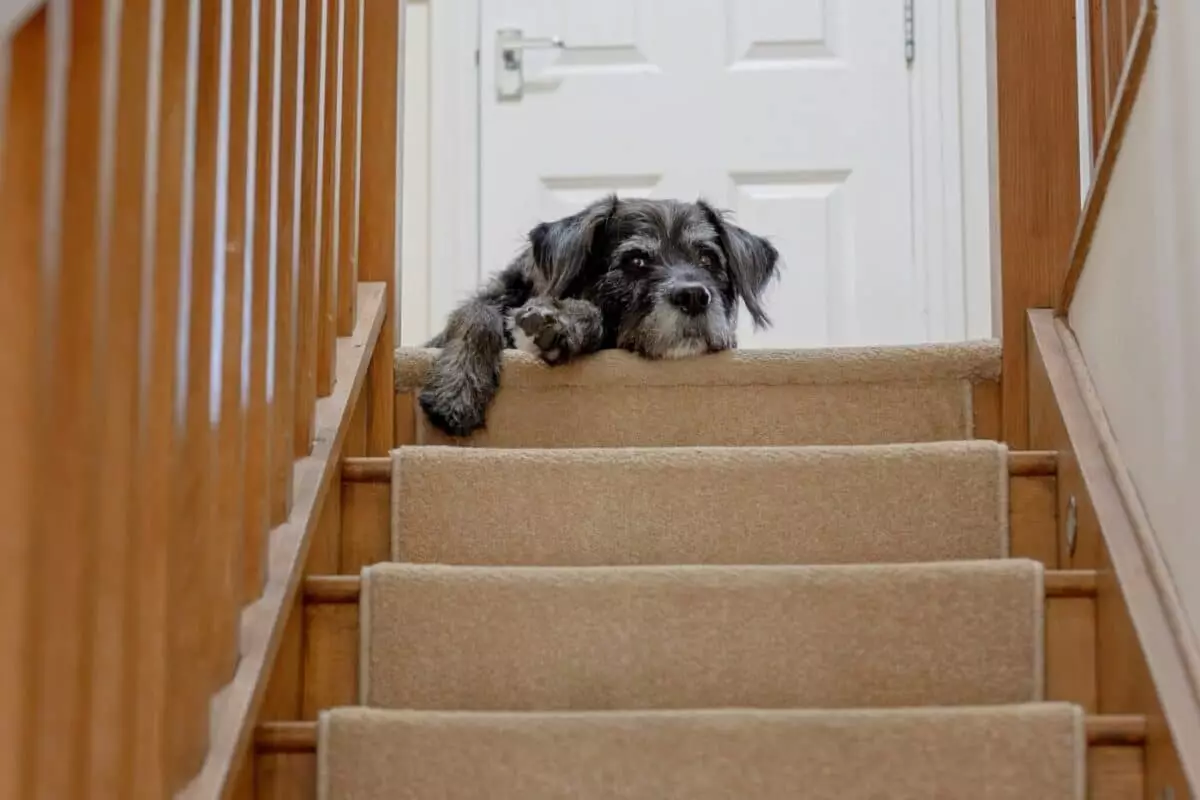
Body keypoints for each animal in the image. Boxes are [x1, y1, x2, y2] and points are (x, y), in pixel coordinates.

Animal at [417, 195, 782, 438]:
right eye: (635, 261)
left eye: (708, 259)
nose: (693, 296)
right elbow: (475, 313)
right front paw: (457, 389)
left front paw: (564, 320)